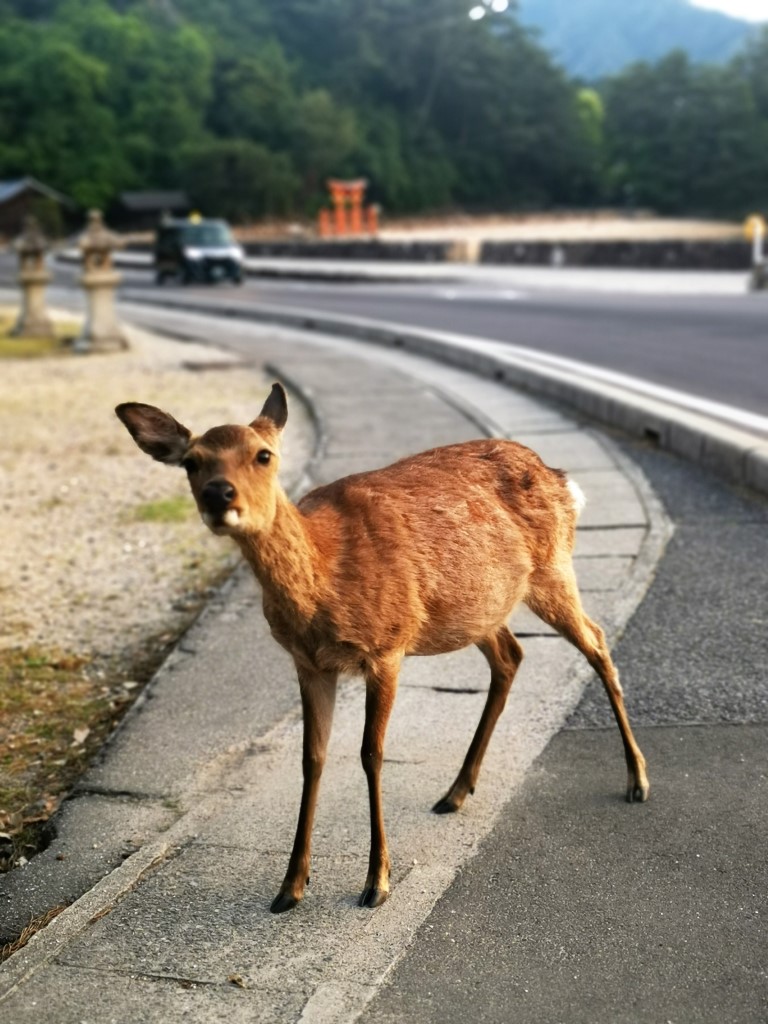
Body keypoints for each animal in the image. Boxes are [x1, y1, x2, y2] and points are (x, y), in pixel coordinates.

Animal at [117, 382, 651, 913]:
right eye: (192, 462)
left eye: (263, 455)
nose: (218, 494)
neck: (324, 578)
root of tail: (560, 478)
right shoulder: (309, 663)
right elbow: (312, 758)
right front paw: (290, 887)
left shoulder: (386, 647)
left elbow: (371, 753)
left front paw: (377, 882)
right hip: (479, 604)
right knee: (511, 655)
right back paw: (456, 791)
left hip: (553, 568)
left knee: (596, 642)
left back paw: (637, 780)